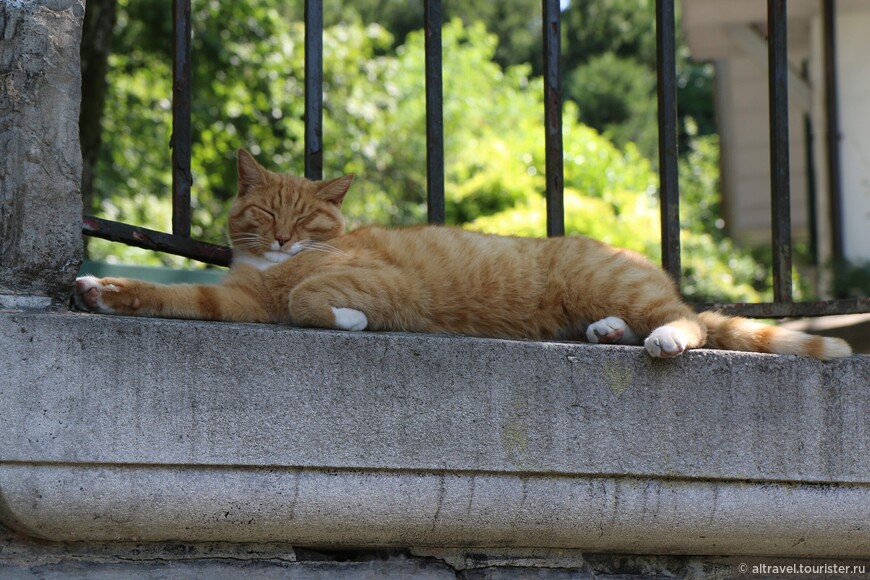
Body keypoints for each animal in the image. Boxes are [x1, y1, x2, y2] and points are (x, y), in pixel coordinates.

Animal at [73, 147, 852, 360]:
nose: (285, 239)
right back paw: (605, 333)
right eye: (265, 215)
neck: (273, 266)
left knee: (684, 320)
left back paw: (659, 337)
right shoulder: (235, 299)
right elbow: (181, 296)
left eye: (306, 219)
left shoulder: (379, 285)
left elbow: (307, 298)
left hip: (618, 285)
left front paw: (349, 320)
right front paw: (104, 290)